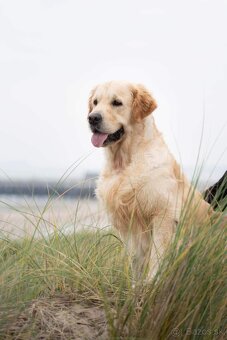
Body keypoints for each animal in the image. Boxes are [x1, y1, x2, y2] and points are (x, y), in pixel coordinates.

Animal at [88, 81, 217, 280]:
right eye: (95, 102)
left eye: (116, 102)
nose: (92, 118)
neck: (124, 162)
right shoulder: (128, 224)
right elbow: (136, 261)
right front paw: (135, 286)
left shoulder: (164, 215)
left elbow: (158, 257)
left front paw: (151, 283)